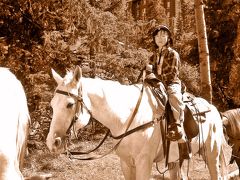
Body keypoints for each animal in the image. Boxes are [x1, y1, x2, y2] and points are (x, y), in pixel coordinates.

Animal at [46, 66, 228, 180]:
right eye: (52, 104)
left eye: (69, 104)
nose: (51, 142)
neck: (127, 118)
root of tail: (213, 108)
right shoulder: (126, 163)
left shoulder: (143, 163)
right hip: (176, 160)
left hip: (212, 154)